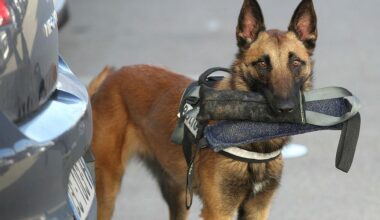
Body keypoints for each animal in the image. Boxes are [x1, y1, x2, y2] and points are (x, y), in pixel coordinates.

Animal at [90, 0, 320, 218]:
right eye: (262, 64)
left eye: (296, 63)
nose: (286, 108)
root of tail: (112, 77)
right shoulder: (218, 211)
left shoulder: (257, 209)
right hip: (108, 190)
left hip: (178, 193)